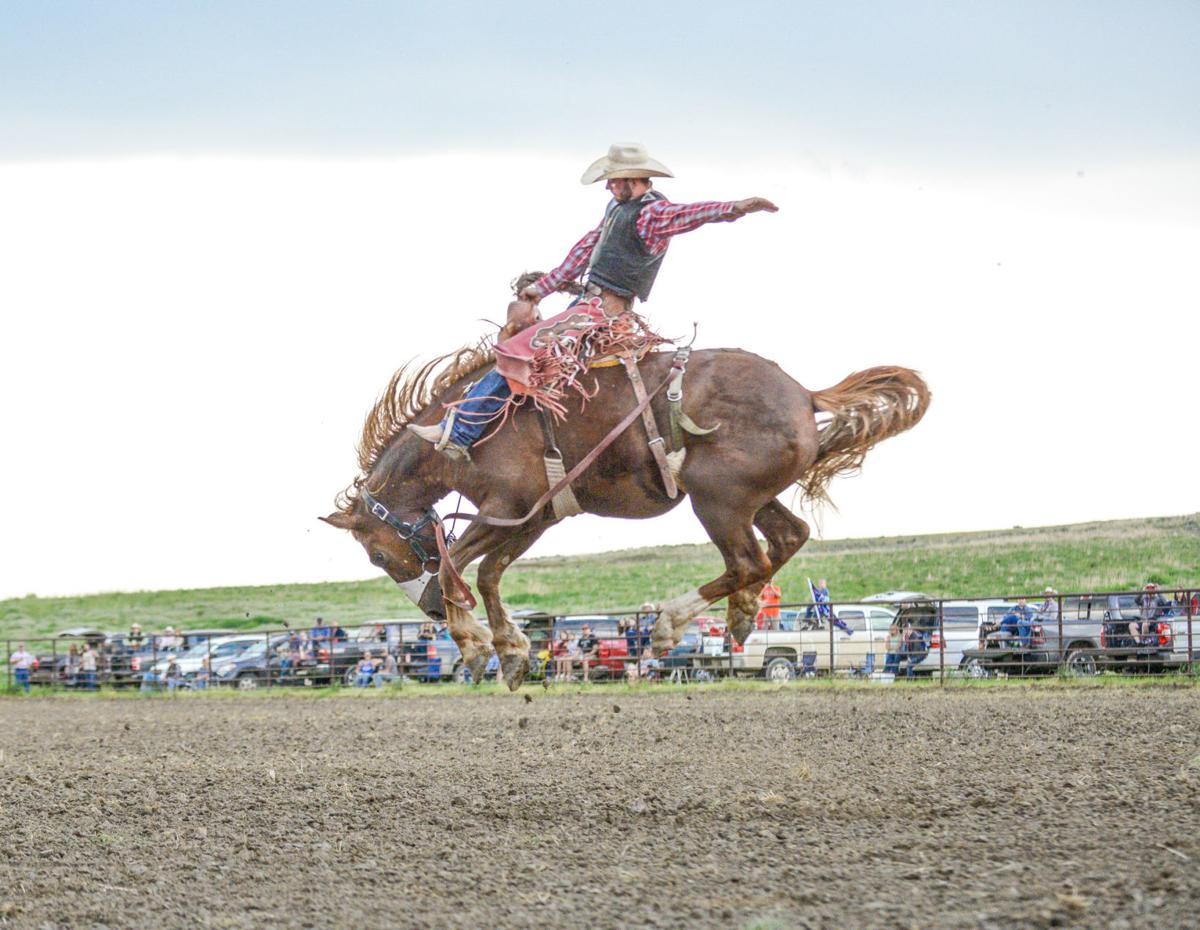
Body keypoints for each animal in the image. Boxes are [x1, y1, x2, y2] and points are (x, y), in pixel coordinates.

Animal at [321, 331, 926, 686]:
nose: (425, 614)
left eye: (377, 555)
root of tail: (804, 396)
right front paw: (512, 652)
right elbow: (489, 573)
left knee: (747, 560)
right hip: (750, 497)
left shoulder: (509, 506)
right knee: (787, 537)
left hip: (716, 498)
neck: (471, 427)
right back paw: (740, 613)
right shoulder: (536, 515)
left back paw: (669, 625)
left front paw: (471, 644)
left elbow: (455, 569)